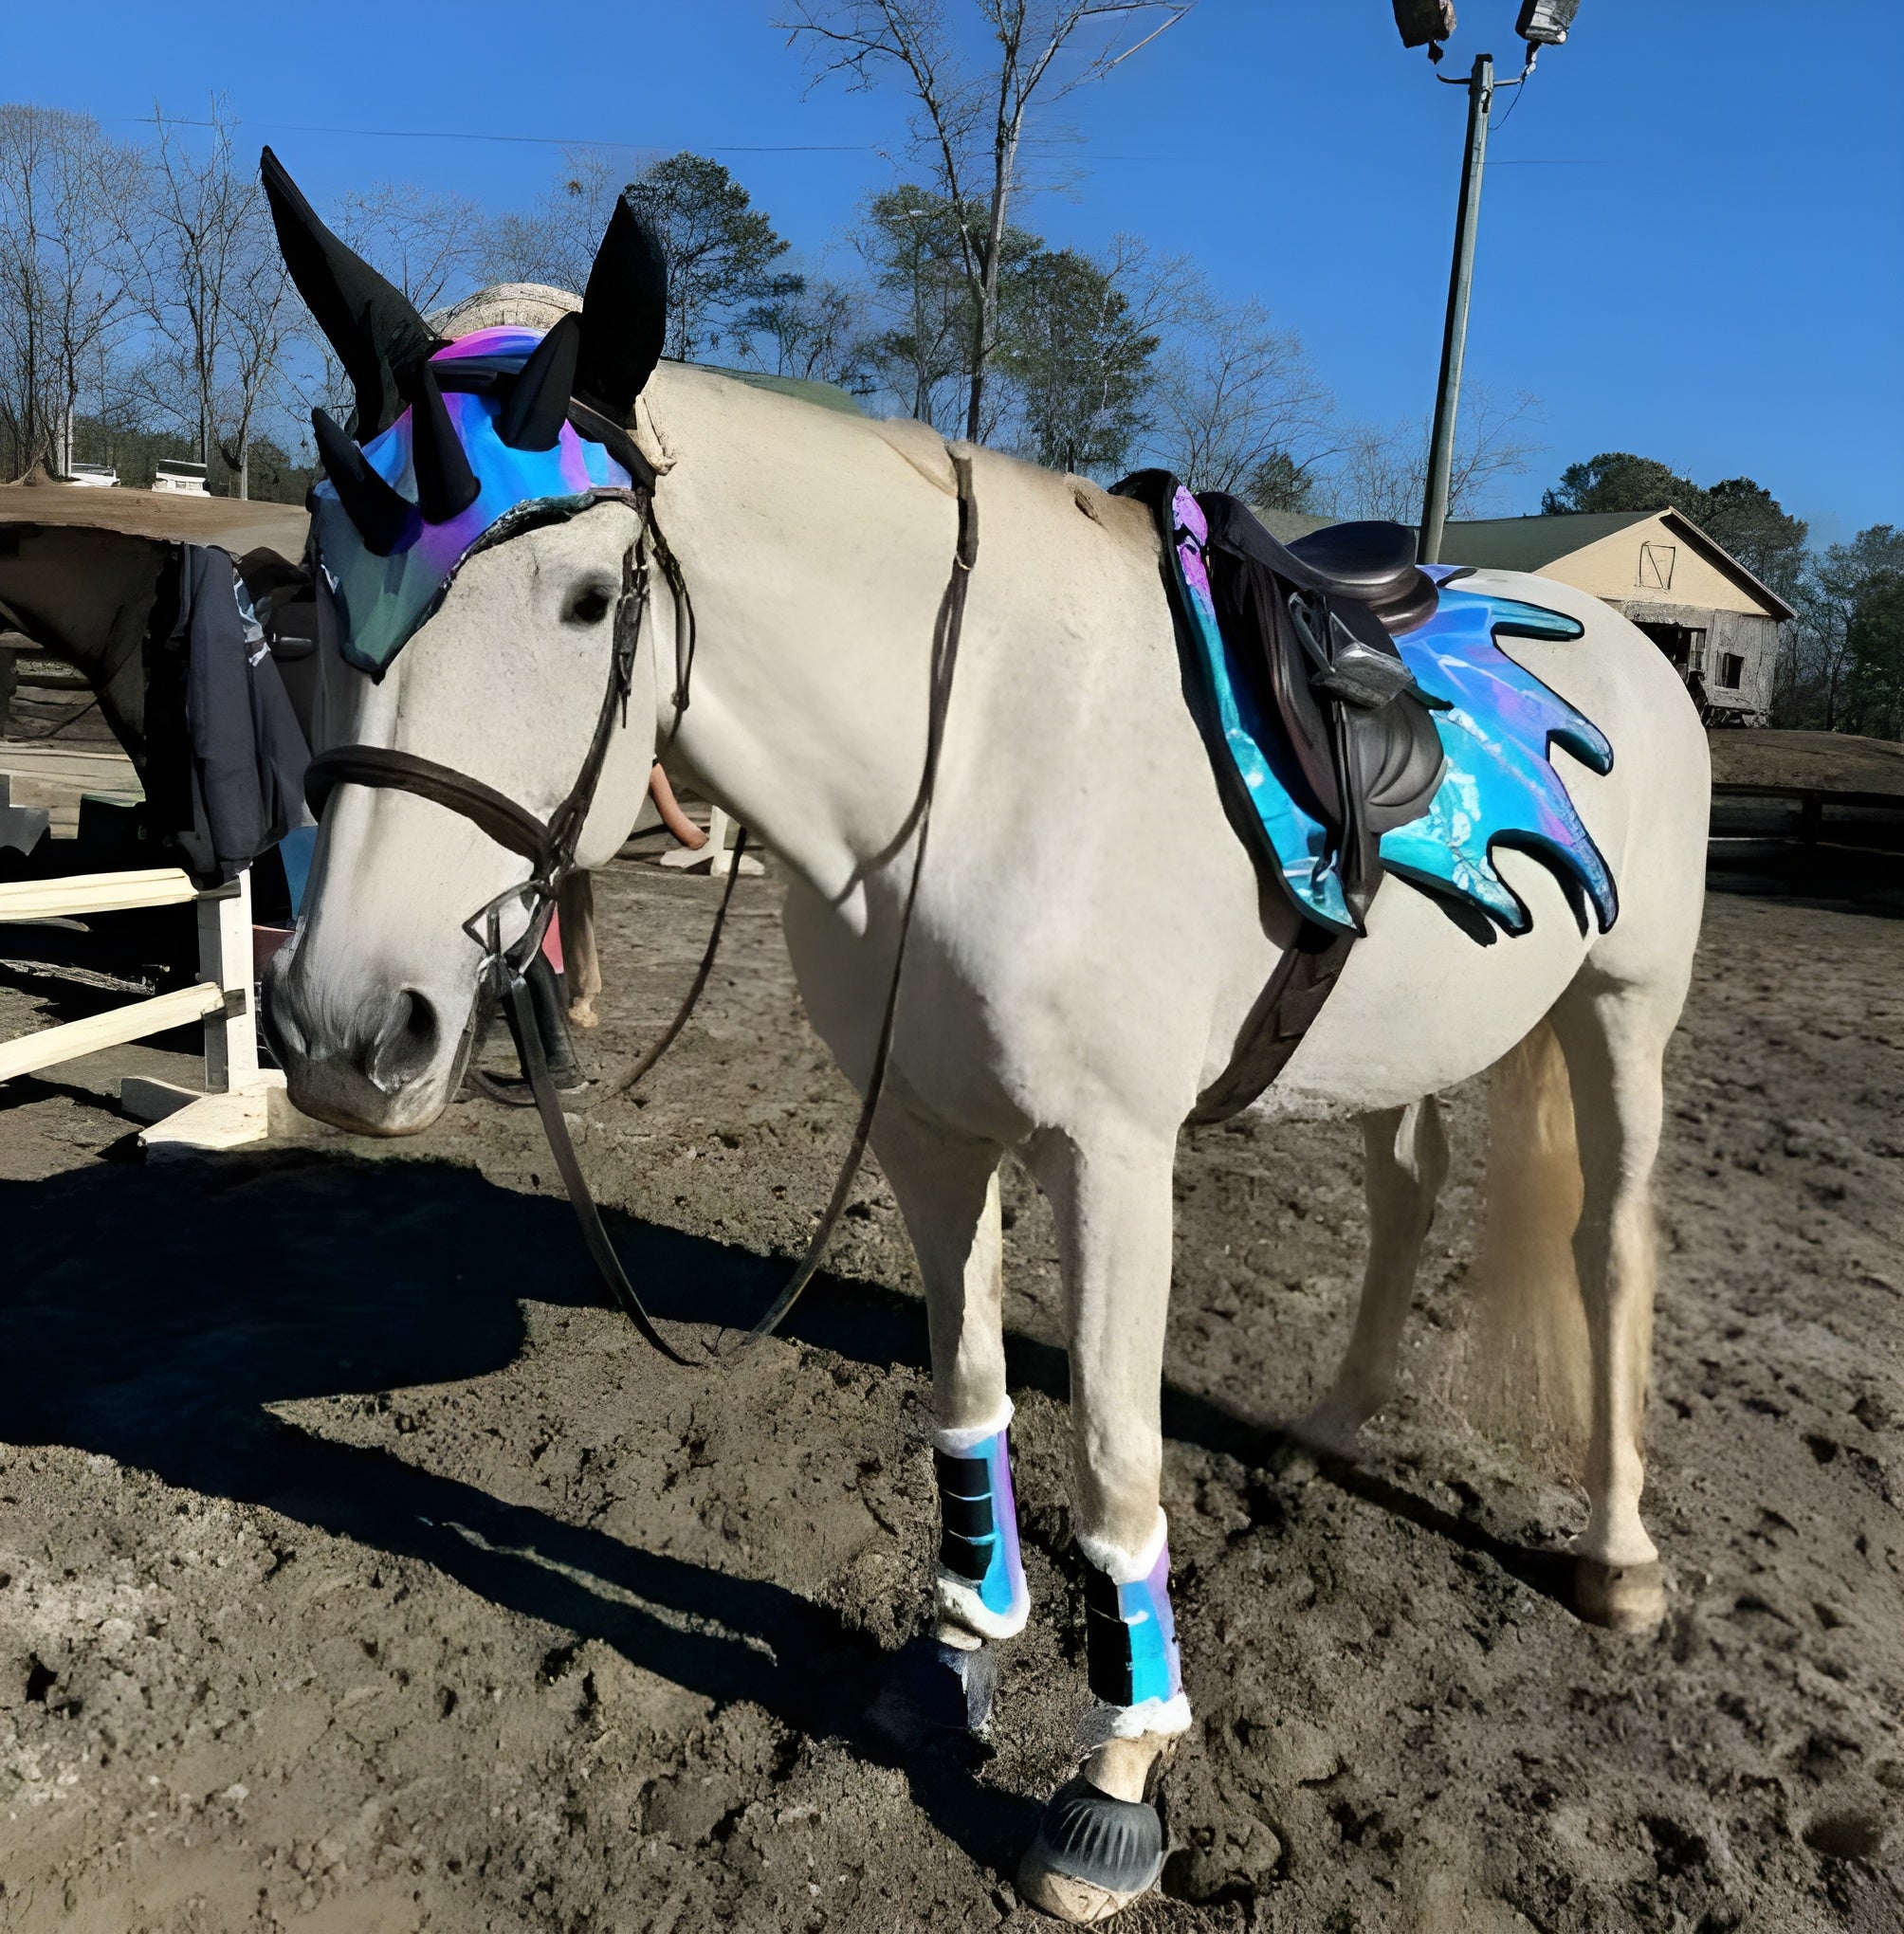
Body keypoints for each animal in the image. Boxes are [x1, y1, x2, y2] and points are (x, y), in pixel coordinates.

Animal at [258, 157, 1709, 1924]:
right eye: (324, 576)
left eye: (588, 599)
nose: (346, 1027)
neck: (985, 759)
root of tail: (1623, 638)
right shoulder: (927, 1129)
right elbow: (966, 1395)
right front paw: (955, 1654)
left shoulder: (1113, 1159)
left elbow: (1115, 1466)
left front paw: (1115, 1787)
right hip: (1400, 1046)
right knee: (1404, 1193)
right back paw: (1337, 1424)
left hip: (1623, 1013)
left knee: (1609, 1251)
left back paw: (1617, 1560)